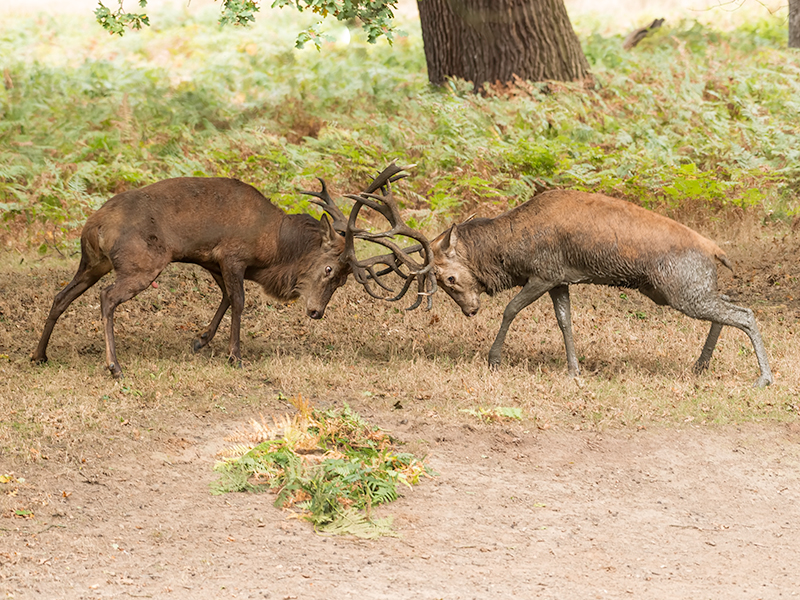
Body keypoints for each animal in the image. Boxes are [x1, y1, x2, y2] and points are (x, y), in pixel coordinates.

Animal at [32, 164, 434, 378]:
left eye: (343, 281)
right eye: (329, 269)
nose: (316, 312)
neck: (272, 247)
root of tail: (95, 226)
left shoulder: (211, 259)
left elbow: (225, 296)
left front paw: (200, 340)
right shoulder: (233, 254)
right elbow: (239, 301)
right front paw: (234, 355)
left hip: (91, 262)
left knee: (61, 295)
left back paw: (39, 355)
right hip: (140, 262)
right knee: (107, 297)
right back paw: (114, 365)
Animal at [426, 189, 773, 388]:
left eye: (449, 279)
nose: (470, 310)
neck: (509, 252)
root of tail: (717, 251)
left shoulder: (542, 274)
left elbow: (510, 309)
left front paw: (494, 359)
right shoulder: (560, 279)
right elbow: (565, 321)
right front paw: (573, 370)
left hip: (682, 290)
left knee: (744, 313)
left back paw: (764, 377)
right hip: (681, 290)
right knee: (728, 300)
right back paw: (700, 365)